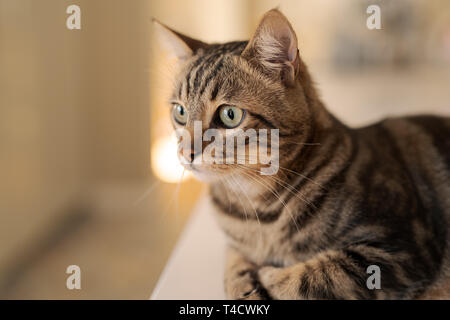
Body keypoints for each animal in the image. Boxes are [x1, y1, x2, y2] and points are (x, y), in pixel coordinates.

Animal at [155, 8, 450, 298]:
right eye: (179, 112)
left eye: (230, 115)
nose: (186, 152)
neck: (254, 208)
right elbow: (232, 261)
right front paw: (243, 283)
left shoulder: (399, 248)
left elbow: (322, 274)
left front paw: (267, 277)